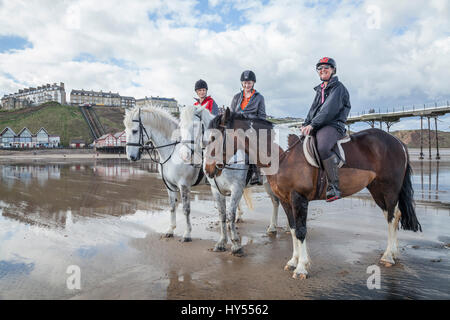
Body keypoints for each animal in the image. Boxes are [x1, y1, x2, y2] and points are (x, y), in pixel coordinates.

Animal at [178, 105, 284, 255]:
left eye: (194, 125)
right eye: (180, 125)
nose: (184, 155)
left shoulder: (237, 188)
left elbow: (231, 214)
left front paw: (236, 245)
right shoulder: (216, 190)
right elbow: (222, 214)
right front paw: (222, 242)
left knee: (278, 201)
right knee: (275, 201)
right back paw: (272, 228)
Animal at [204, 109, 422, 280]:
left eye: (214, 138)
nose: (208, 170)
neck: (282, 153)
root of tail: (397, 142)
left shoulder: (298, 198)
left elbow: (301, 231)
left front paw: (301, 268)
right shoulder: (286, 200)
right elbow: (293, 229)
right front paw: (293, 261)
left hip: (389, 188)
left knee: (392, 217)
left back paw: (388, 256)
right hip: (376, 189)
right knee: (393, 215)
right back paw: (394, 253)